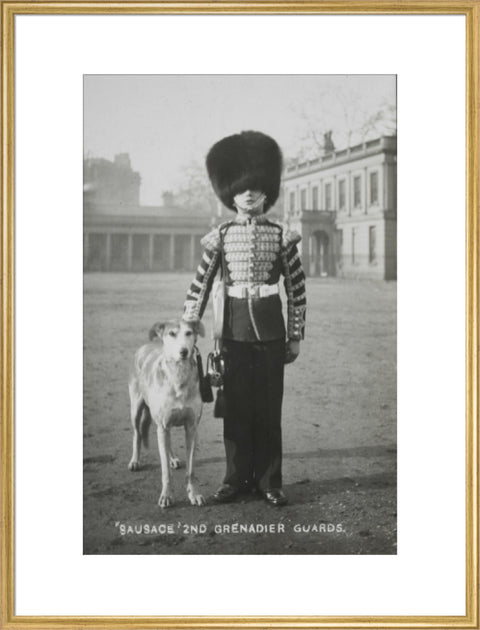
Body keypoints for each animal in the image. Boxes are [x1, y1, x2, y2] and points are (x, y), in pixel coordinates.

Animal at [129, 320, 206, 508]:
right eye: (171, 334)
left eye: (189, 333)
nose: (184, 351)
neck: (179, 375)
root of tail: (146, 345)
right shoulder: (163, 425)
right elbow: (165, 472)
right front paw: (166, 496)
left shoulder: (191, 428)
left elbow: (191, 470)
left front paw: (194, 494)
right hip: (136, 408)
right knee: (137, 434)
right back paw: (135, 461)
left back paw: (173, 458)